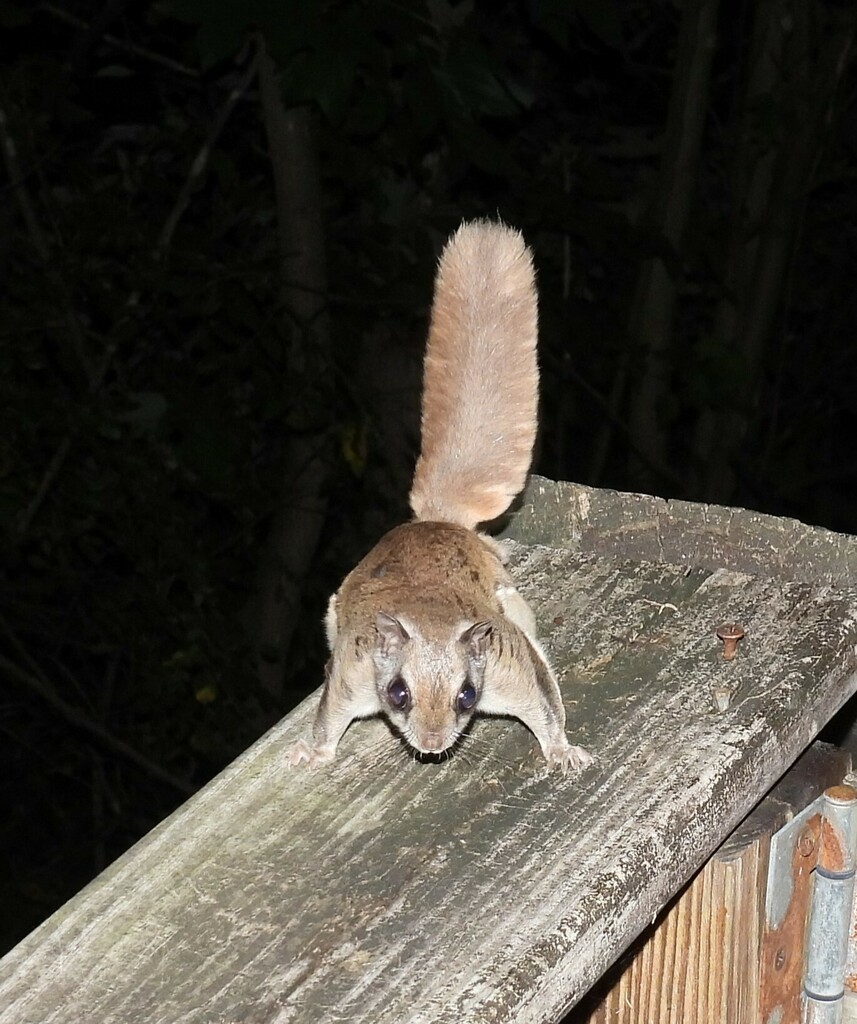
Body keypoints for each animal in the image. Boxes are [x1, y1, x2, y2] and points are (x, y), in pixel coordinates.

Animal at [286, 220, 589, 770]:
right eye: (398, 694)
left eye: (466, 696)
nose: (430, 747)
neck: (430, 618)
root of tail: (436, 518)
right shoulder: (351, 675)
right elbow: (327, 720)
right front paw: (311, 753)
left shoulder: (510, 667)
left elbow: (544, 704)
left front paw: (562, 751)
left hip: (513, 606)